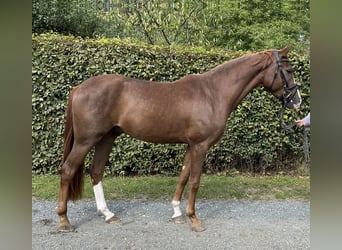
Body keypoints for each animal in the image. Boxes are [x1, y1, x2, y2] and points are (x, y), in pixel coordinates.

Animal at [56, 46, 302, 232]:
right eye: (289, 70)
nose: (297, 101)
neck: (213, 93)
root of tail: (78, 88)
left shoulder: (191, 145)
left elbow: (183, 177)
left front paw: (177, 213)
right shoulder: (201, 146)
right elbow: (194, 181)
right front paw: (194, 219)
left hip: (106, 138)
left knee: (96, 171)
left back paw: (108, 214)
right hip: (86, 140)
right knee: (68, 170)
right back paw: (64, 220)